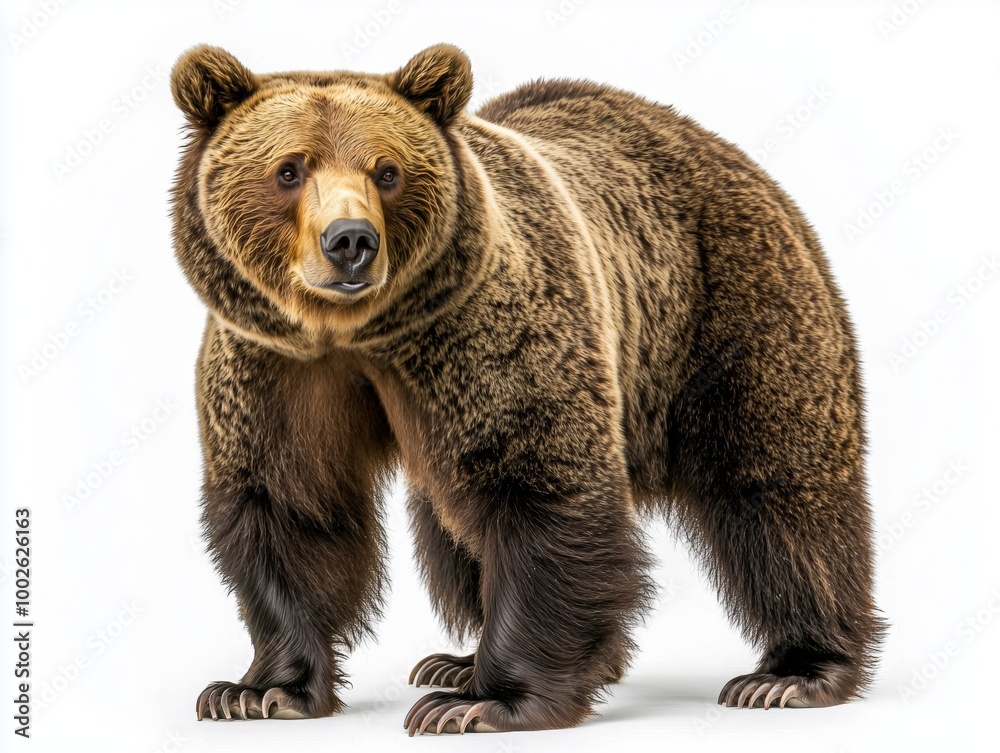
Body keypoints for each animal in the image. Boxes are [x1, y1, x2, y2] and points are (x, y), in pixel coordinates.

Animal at [170, 43, 885, 734]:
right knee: (448, 532)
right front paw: (257, 691)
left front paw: (485, 705)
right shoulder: (277, 365)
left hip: (733, 310)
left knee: (781, 492)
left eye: (387, 171)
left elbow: (539, 491)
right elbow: (288, 505)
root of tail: (725, 151)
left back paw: (793, 673)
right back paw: (462, 661)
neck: (359, 333)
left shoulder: (487, 331)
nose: (351, 241)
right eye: (290, 170)